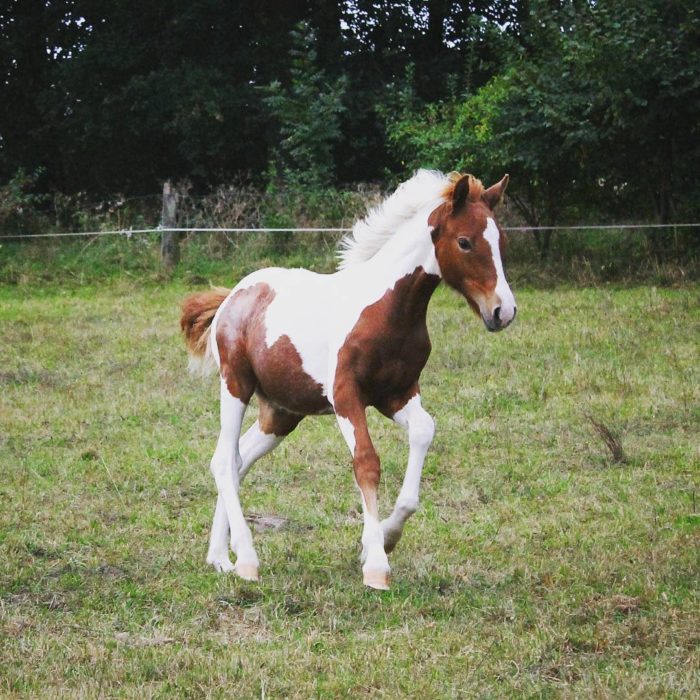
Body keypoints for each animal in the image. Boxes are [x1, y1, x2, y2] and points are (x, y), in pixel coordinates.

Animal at [182, 170, 516, 592]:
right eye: (465, 242)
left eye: (501, 241)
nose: (503, 311)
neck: (389, 309)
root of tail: (234, 295)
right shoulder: (345, 396)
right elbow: (366, 462)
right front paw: (375, 565)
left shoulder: (397, 394)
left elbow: (424, 431)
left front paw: (385, 539)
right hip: (236, 385)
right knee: (225, 460)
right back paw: (246, 559)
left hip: (281, 412)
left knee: (239, 459)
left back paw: (219, 557)